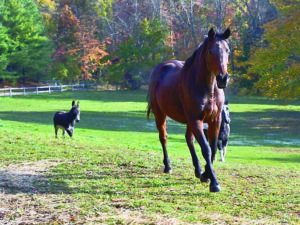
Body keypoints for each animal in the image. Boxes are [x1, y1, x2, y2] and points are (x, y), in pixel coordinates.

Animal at [147, 28, 230, 192]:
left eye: (227, 50)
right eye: (211, 51)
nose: (223, 79)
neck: (207, 89)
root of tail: (160, 67)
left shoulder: (214, 120)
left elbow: (212, 148)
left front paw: (205, 174)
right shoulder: (196, 120)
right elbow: (206, 149)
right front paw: (214, 183)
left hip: (188, 121)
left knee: (189, 139)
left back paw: (198, 170)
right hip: (161, 115)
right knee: (163, 137)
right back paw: (168, 166)